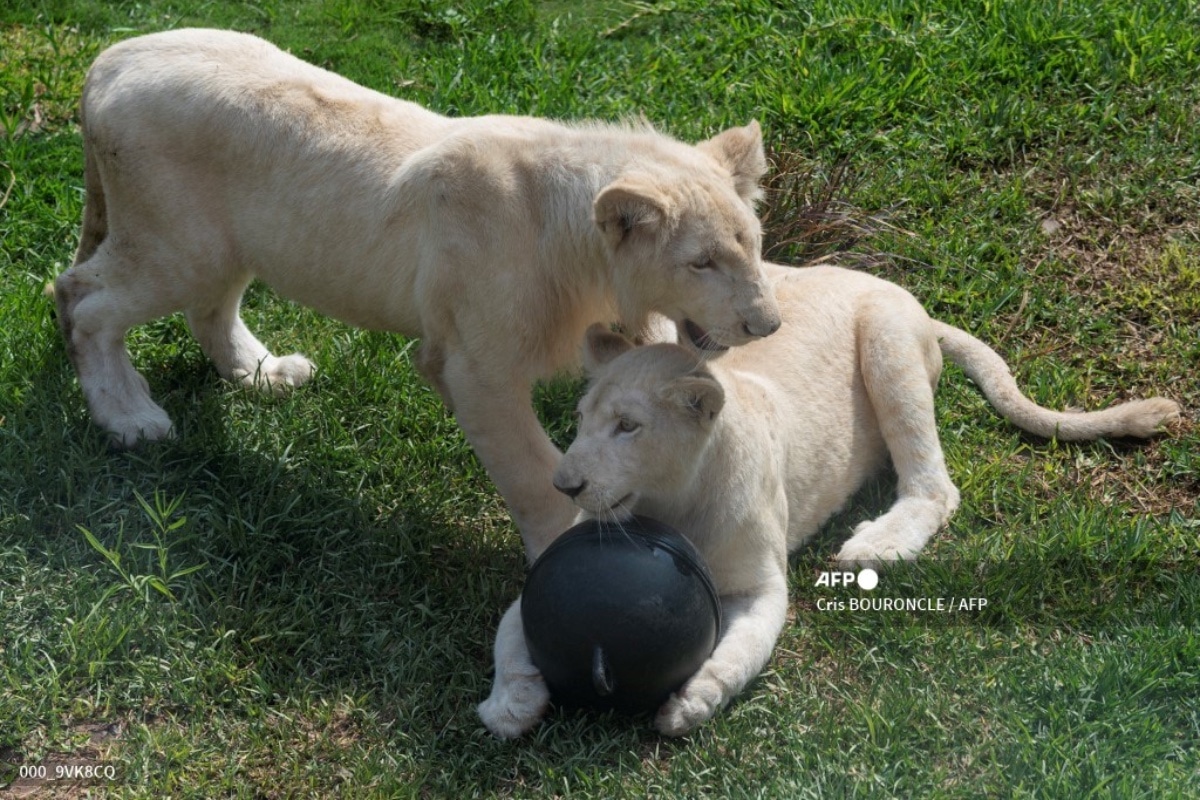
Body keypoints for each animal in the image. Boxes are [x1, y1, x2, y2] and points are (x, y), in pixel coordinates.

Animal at [56, 28, 782, 561]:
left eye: (753, 245)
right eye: (701, 262)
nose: (767, 325)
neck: (584, 257)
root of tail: (108, 59)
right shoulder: (473, 365)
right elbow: (530, 470)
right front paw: (561, 557)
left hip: (230, 245)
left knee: (205, 306)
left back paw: (263, 374)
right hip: (178, 245)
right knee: (80, 296)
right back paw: (129, 417)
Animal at [480, 262, 1180, 738]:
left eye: (628, 427)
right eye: (581, 421)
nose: (565, 484)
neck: (668, 501)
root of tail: (901, 293)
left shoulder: (763, 587)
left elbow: (739, 654)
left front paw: (691, 703)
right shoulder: (536, 583)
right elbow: (510, 637)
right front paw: (509, 706)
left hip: (888, 345)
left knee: (933, 485)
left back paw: (876, 545)